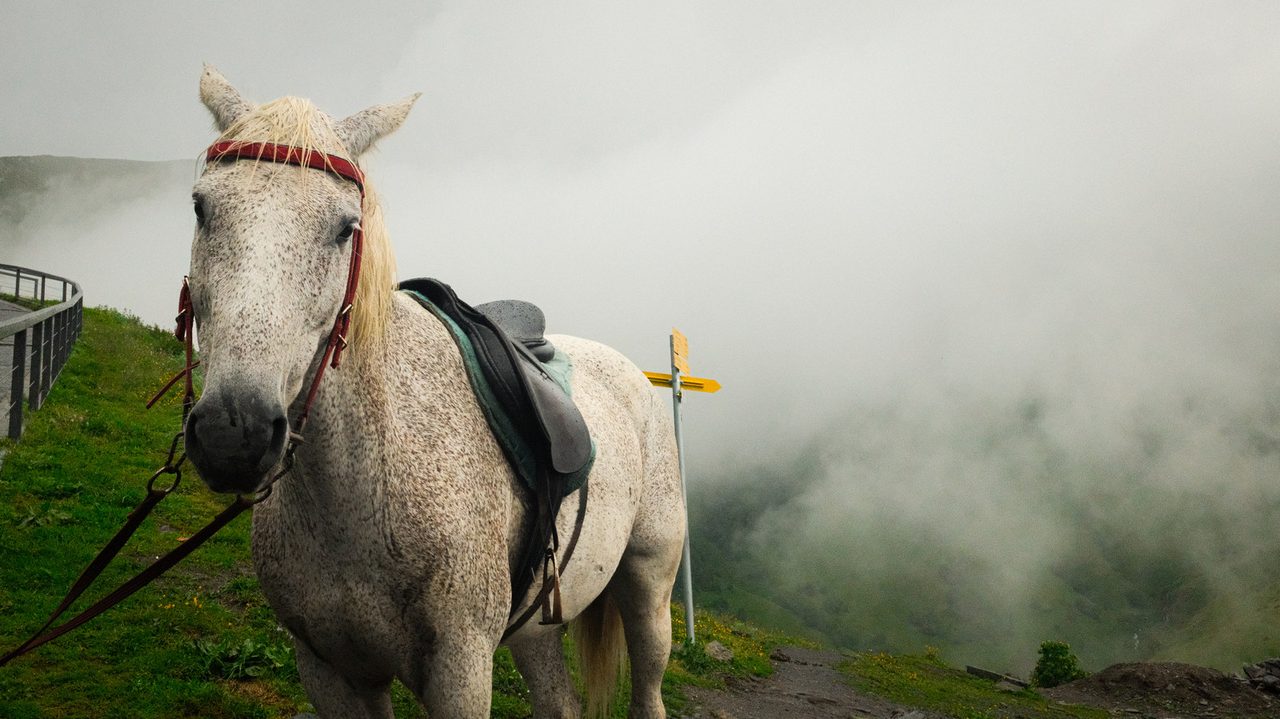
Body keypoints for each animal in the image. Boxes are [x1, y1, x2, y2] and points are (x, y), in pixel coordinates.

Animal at [182, 66, 686, 718]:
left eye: (345, 228)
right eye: (202, 208)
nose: (233, 433)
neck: (362, 485)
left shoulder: (460, 671)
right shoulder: (330, 671)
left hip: (648, 588)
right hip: (537, 627)